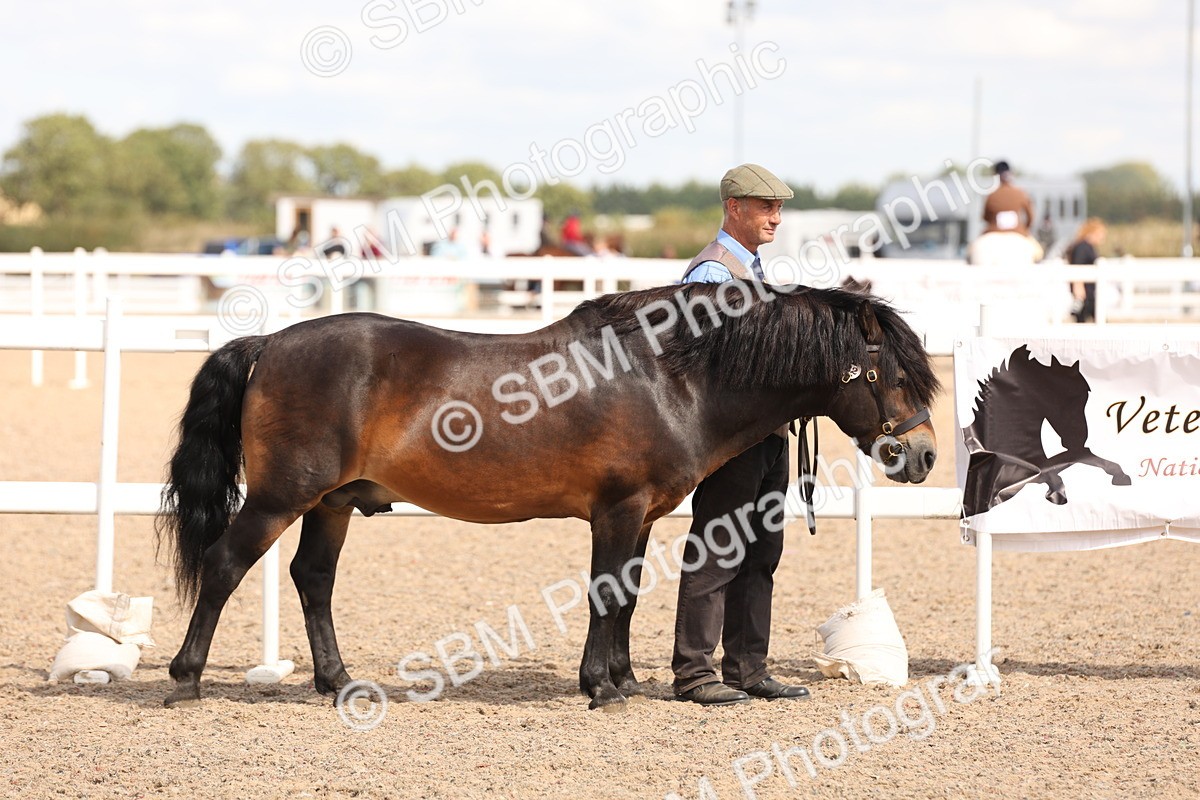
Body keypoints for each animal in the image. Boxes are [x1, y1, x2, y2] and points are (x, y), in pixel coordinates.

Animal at [157, 281, 940, 710]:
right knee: (226, 566)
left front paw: (623, 679)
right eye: (896, 377)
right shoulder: (616, 509)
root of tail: (269, 344)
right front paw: (600, 686)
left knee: (312, 578)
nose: (926, 454)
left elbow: (627, 595)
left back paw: (338, 681)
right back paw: (185, 680)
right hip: (281, 496)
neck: (669, 374)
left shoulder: (642, 514)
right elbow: (603, 593)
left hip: (333, 502)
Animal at [961, 344, 1130, 517]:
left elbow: (1087, 458)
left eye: (1085, 396)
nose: (1078, 440)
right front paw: (1057, 495)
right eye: (1057, 394)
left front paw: (1120, 475)